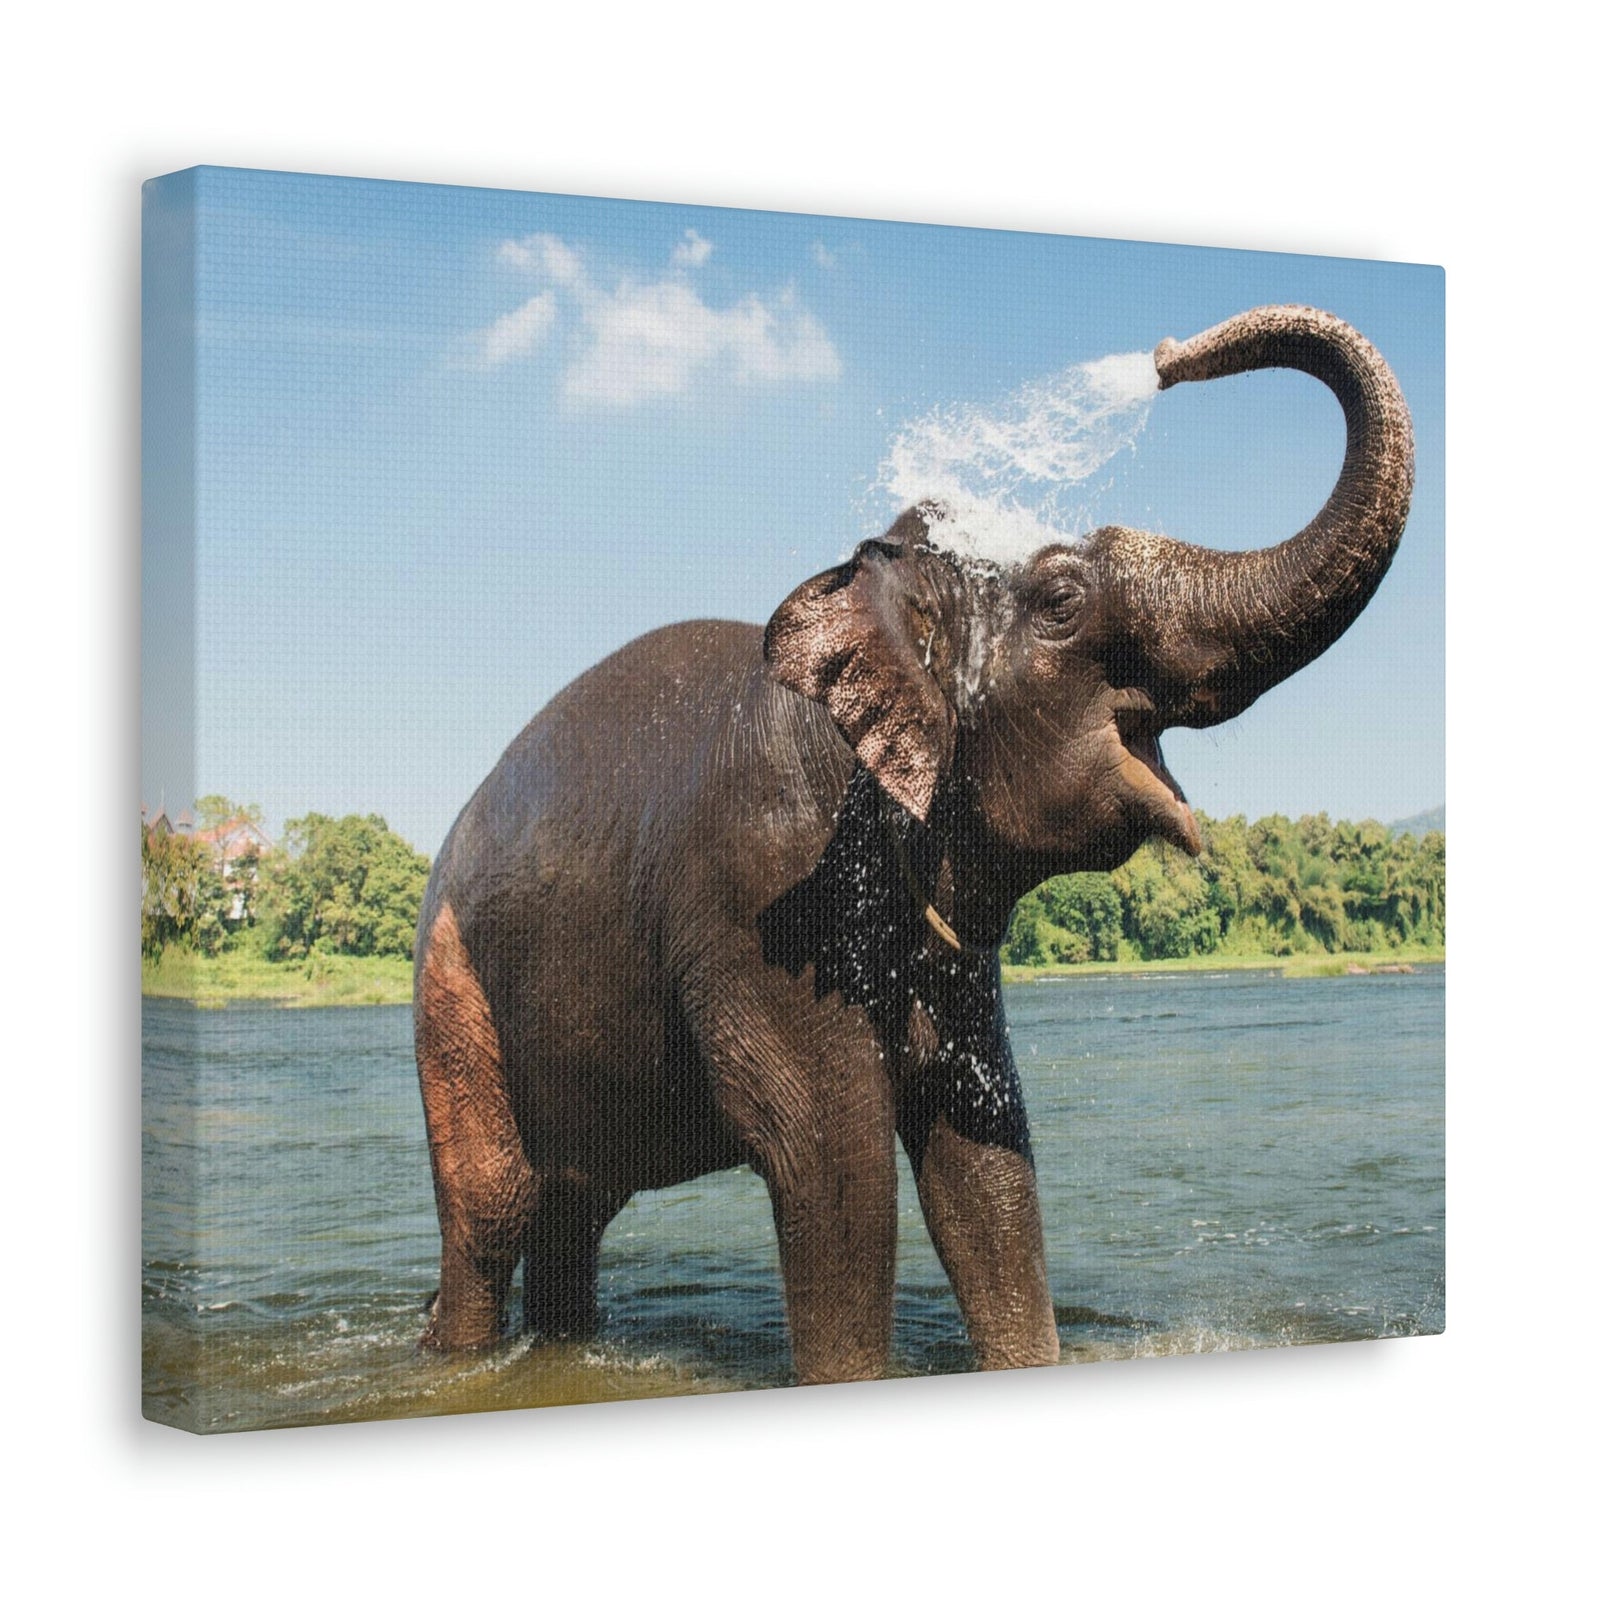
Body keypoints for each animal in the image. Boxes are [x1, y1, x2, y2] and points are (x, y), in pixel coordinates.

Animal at [413, 304, 1414, 1383]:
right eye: (1062, 601)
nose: (1164, 356)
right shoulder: (761, 890)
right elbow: (829, 1156)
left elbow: (983, 1152)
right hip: (449, 989)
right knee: (493, 1209)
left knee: (575, 1209)